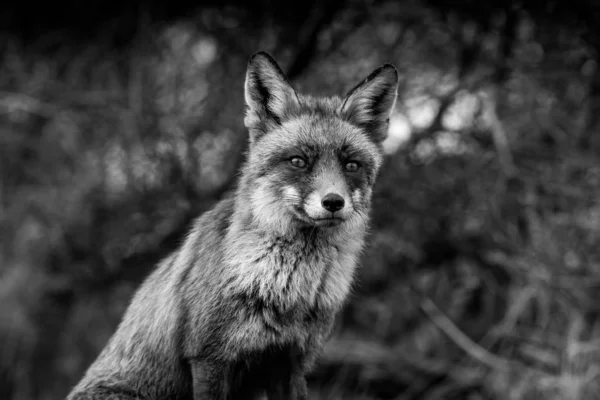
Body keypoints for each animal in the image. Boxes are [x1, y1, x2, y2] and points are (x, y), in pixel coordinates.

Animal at [68, 52, 398, 400]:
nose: (333, 202)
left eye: (351, 165)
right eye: (298, 161)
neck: (287, 291)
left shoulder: (290, 361)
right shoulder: (209, 357)